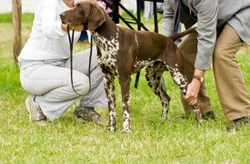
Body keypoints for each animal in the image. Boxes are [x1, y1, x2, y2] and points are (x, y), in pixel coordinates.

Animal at [60, 0, 203, 133]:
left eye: (79, 7)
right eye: (74, 5)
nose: (61, 15)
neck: (108, 38)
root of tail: (169, 39)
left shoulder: (124, 79)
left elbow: (125, 107)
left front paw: (126, 129)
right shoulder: (107, 80)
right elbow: (112, 108)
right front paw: (112, 128)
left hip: (179, 77)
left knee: (193, 99)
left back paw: (199, 122)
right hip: (152, 79)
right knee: (166, 98)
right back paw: (163, 120)